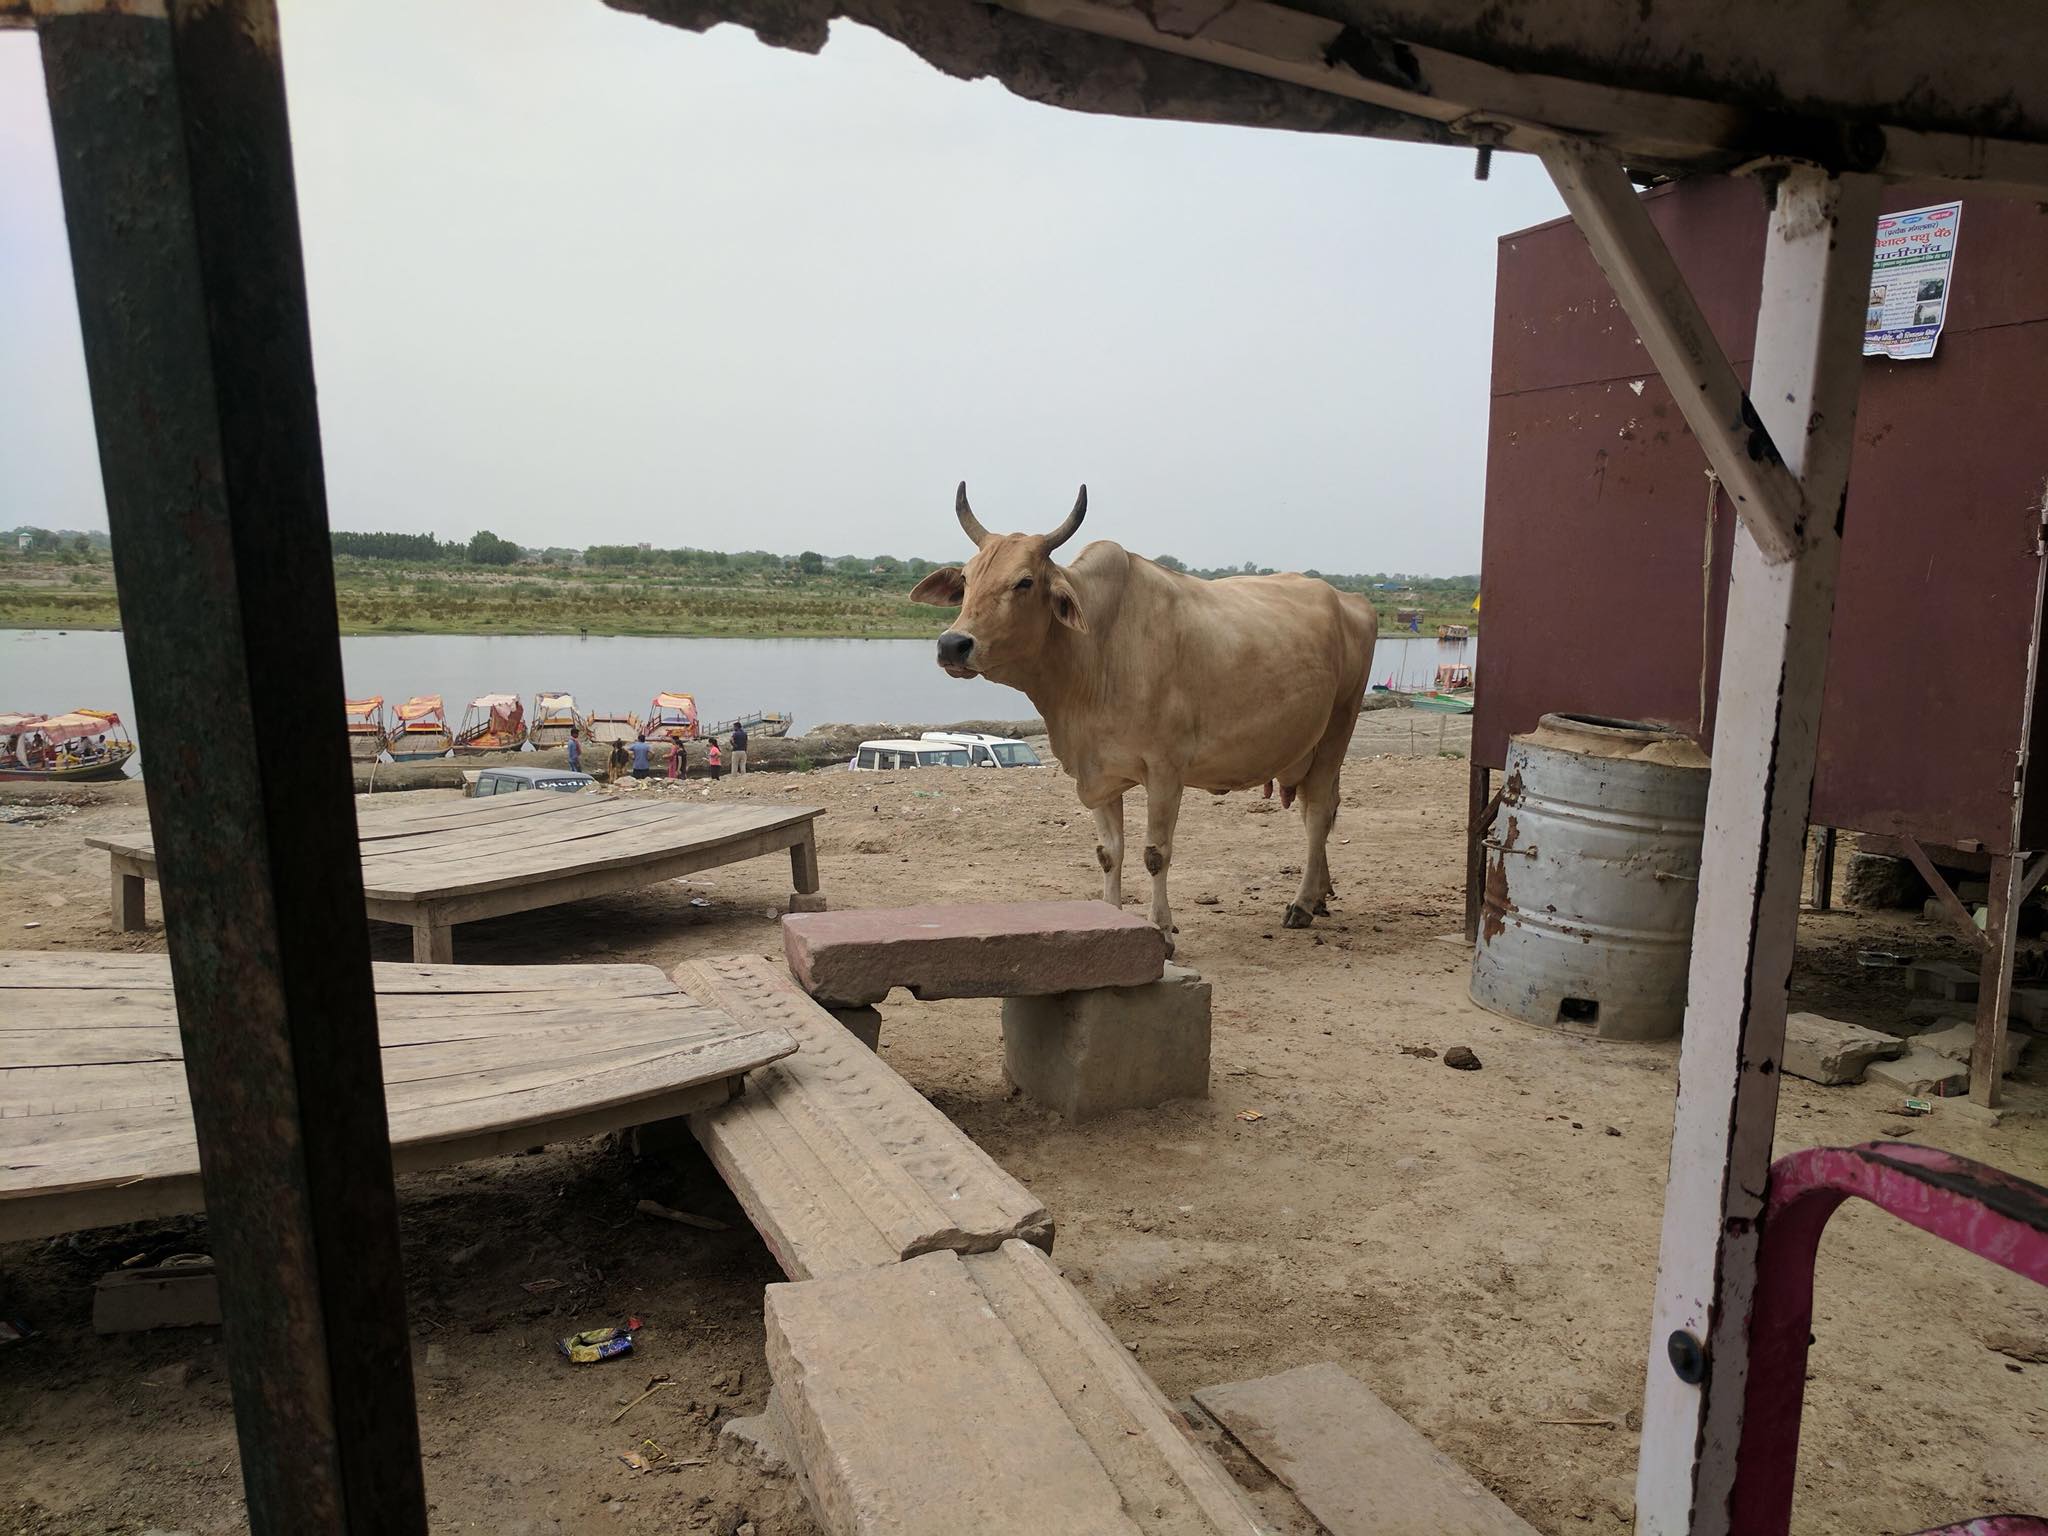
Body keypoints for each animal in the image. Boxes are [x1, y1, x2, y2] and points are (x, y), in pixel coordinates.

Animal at [910, 483, 1378, 947]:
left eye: (1024, 581)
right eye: (967, 578)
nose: (952, 644)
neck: (1098, 651)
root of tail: (1349, 598)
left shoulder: (1165, 771)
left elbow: (1156, 854)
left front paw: (1164, 930)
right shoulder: (1097, 773)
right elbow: (1108, 853)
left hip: (1338, 728)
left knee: (1318, 813)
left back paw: (1302, 904)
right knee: (1321, 806)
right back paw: (1321, 895)